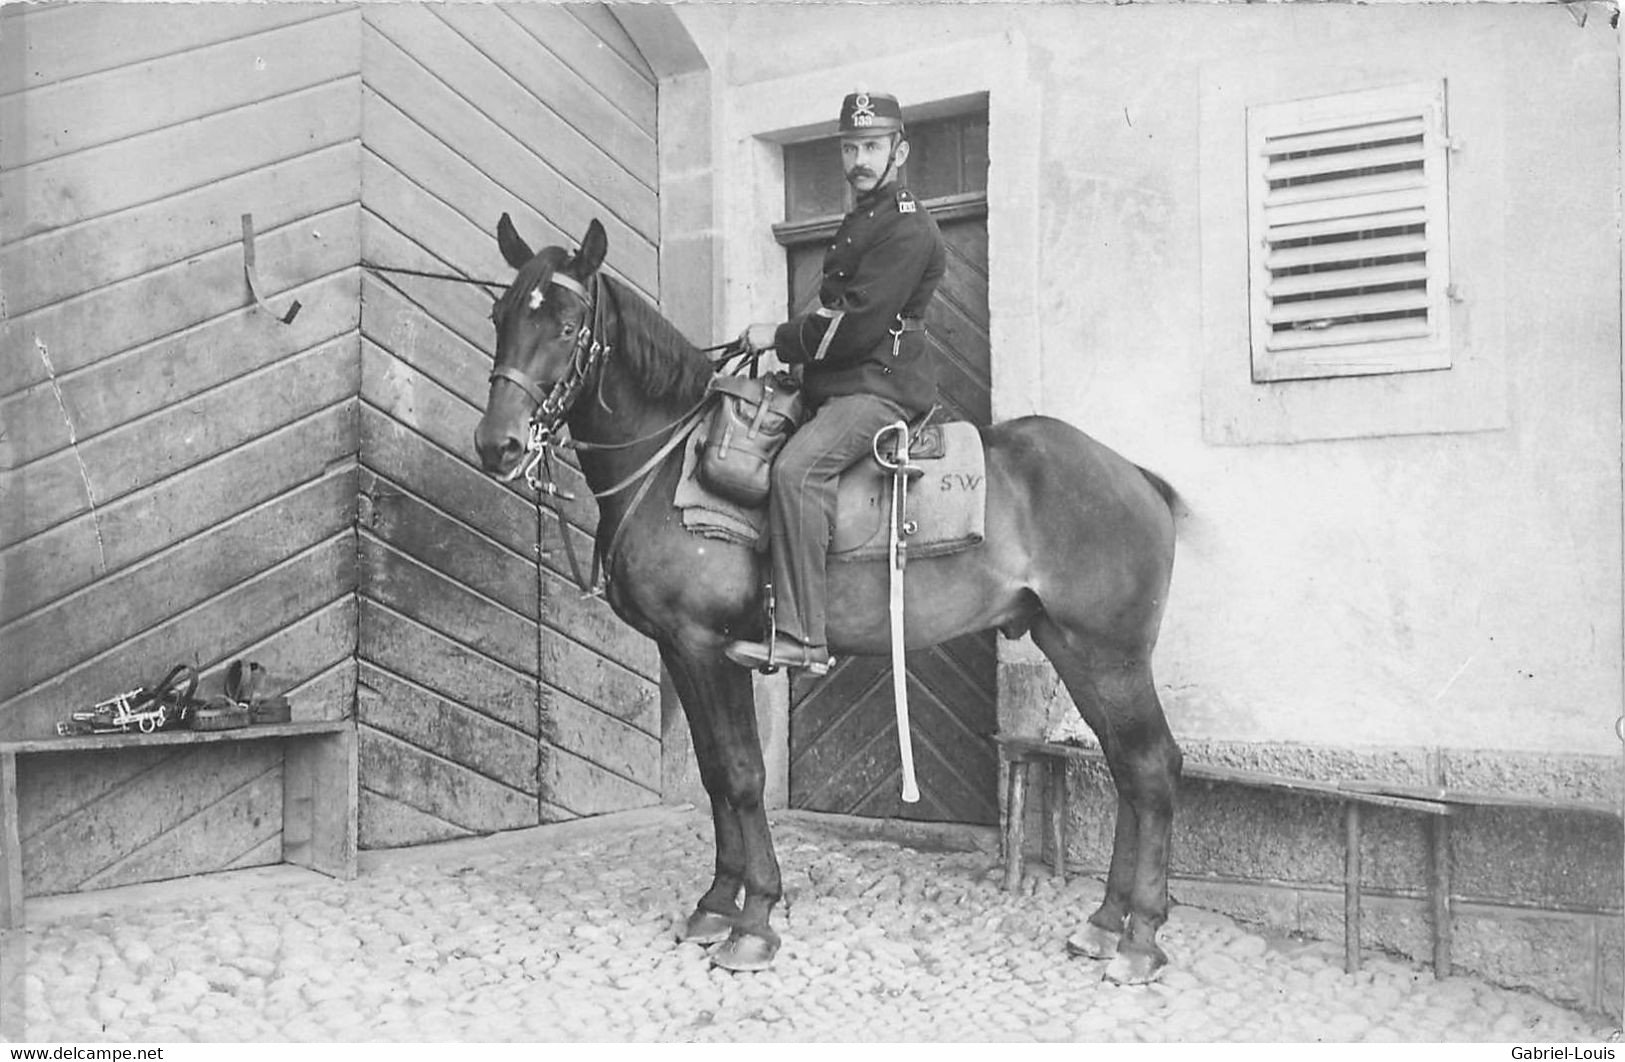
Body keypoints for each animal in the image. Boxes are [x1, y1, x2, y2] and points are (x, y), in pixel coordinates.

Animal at [471, 215, 1183, 987]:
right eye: (500, 316)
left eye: (569, 325)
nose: (496, 443)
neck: (669, 469)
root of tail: (1133, 474)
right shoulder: (679, 651)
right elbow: (713, 775)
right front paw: (716, 903)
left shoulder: (705, 647)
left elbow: (740, 775)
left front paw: (754, 919)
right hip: (1071, 647)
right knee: (1127, 769)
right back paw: (1106, 923)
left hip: (1110, 653)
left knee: (1151, 767)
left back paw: (1140, 937)